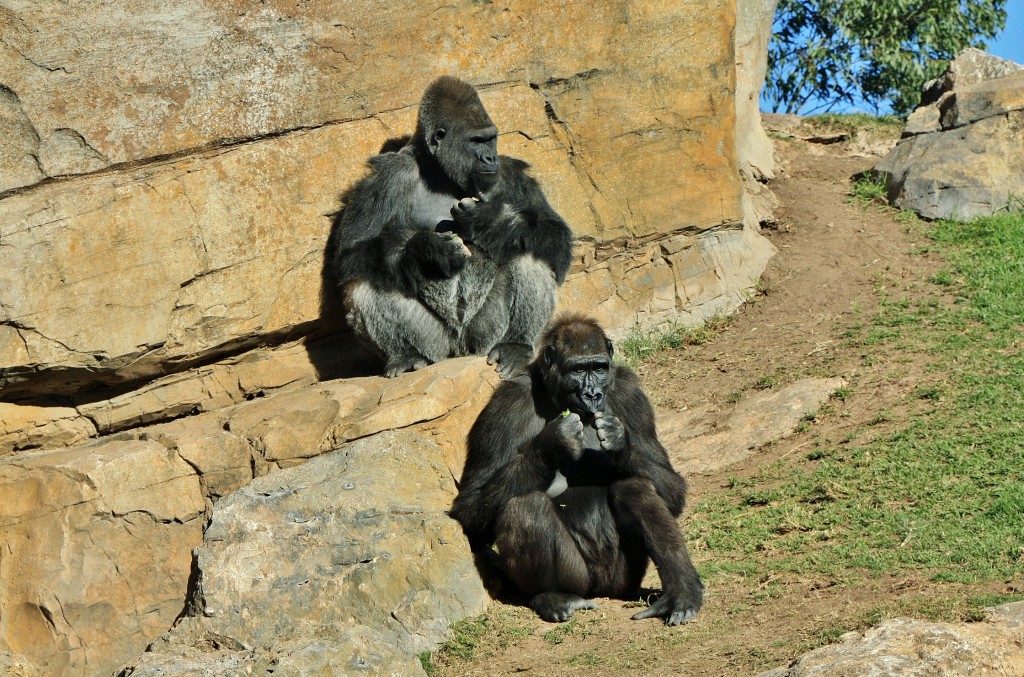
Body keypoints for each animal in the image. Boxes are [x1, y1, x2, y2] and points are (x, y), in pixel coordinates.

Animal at [333, 77, 577, 381]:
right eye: (476, 141)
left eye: (491, 138)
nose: (490, 158)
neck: (437, 172)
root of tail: (460, 352)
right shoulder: (387, 176)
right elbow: (351, 253)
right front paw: (424, 250)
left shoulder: (509, 173)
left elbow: (557, 240)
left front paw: (492, 222)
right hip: (436, 348)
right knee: (369, 273)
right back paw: (405, 356)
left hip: (484, 339)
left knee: (528, 249)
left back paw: (516, 345)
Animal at [450, 313, 704, 626]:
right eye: (578, 369)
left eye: (599, 367)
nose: (593, 394)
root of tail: (601, 591)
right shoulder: (505, 405)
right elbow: (470, 508)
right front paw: (551, 446)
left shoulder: (631, 392)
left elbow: (673, 487)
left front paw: (621, 444)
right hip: (581, 580)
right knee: (525, 507)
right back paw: (552, 597)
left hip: (623, 580)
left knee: (635, 487)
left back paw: (682, 592)